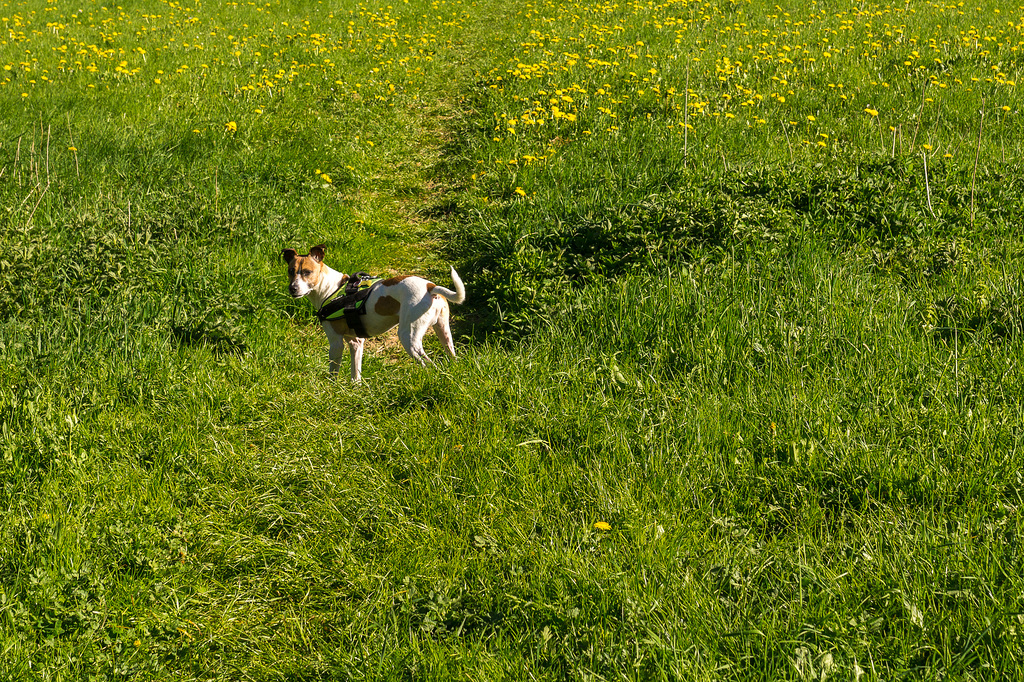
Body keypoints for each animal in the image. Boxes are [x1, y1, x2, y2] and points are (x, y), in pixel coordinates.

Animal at [284, 242, 468, 382]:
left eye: (307, 272)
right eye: (290, 271)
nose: (293, 288)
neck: (331, 289)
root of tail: (430, 287)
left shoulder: (336, 342)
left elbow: (333, 371)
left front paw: (331, 390)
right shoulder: (356, 342)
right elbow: (356, 375)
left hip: (410, 339)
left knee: (429, 365)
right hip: (444, 333)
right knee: (451, 357)